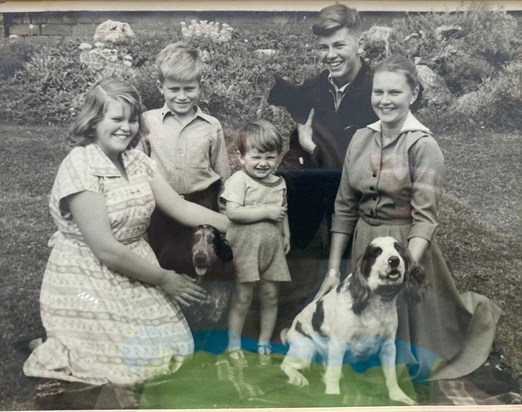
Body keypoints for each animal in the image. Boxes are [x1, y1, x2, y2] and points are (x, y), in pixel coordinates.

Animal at [280, 237, 422, 404]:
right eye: (377, 251)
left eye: (398, 248)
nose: (394, 260)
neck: (375, 302)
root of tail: (290, 329)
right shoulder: (338, 343)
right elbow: (333, 376)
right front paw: (333, 396)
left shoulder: (388, 345)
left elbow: (391, 375)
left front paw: (398, 396)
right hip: (305, 349)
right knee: (285, 364)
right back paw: (297, 377)